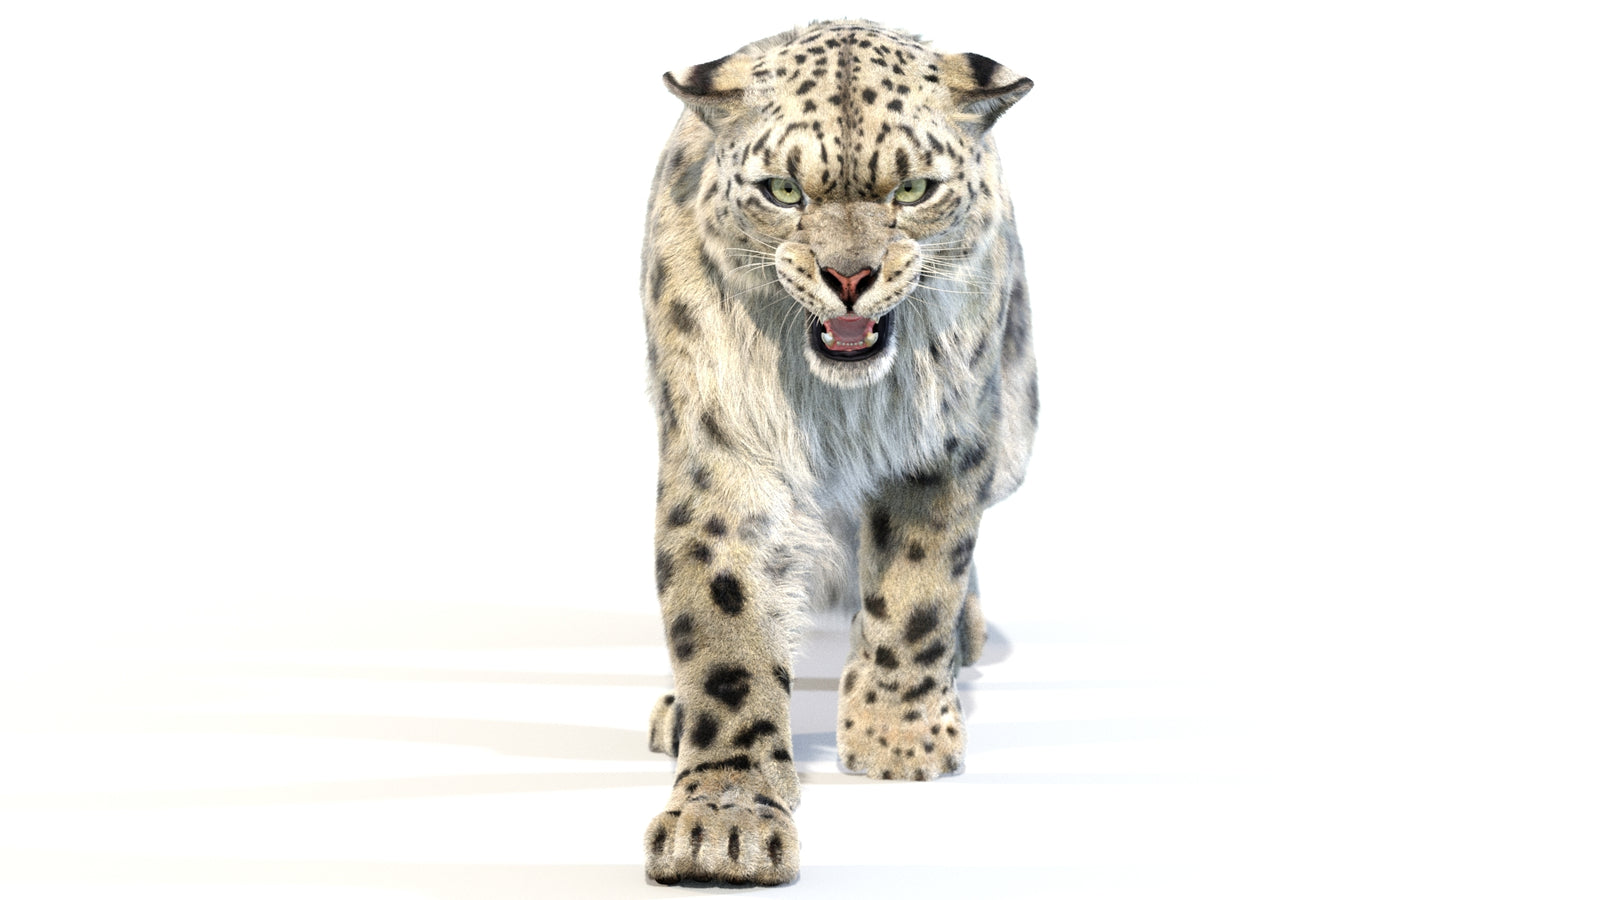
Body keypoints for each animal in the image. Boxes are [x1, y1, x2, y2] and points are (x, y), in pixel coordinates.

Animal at [638, 20, 1037, 885]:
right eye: (783, 191)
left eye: (912, 190)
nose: (848, 276)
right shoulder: (724, 454)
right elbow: (725, 632)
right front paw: (721, 823)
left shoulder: (943, 442)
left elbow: (918, 587)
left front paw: (899, 740)